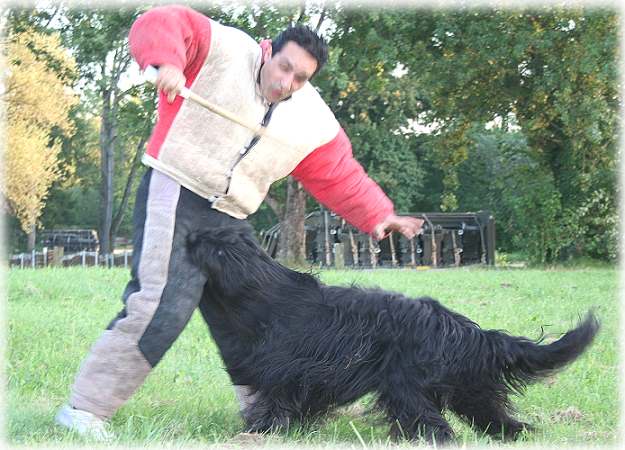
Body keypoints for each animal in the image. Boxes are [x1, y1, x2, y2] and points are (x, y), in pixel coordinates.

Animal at [188, 225, 596, 442]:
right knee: (491, 415)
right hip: (469, 386)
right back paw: (516, 435)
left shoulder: (286, 373)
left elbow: (273, 405)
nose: (190, 234)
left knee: (432, 423)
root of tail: (458, 326)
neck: (256, 291)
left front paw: (257, 434)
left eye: (209, 240)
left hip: (406, 383)